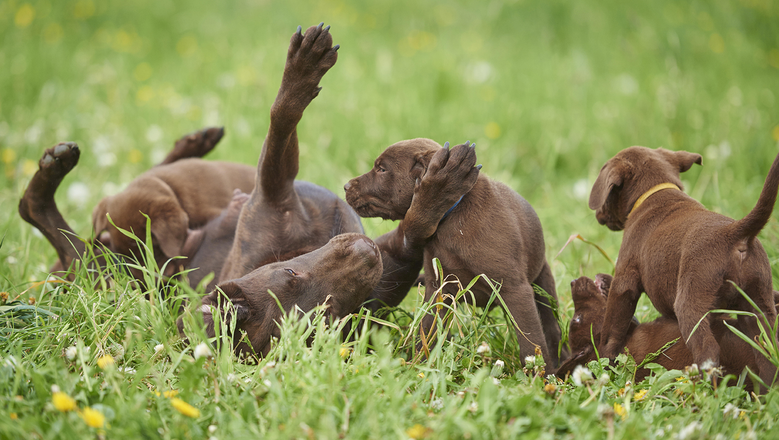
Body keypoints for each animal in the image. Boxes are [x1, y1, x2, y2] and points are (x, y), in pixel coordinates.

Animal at [344, 139, 564, 366]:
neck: (451, 218)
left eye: (382, 169)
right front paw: (419, 364)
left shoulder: (515, 289)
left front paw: (540, 373)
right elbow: (427, 329)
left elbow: (532, 341)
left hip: (543, 285)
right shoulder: (438, 287)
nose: (346, 186)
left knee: (551, 328)